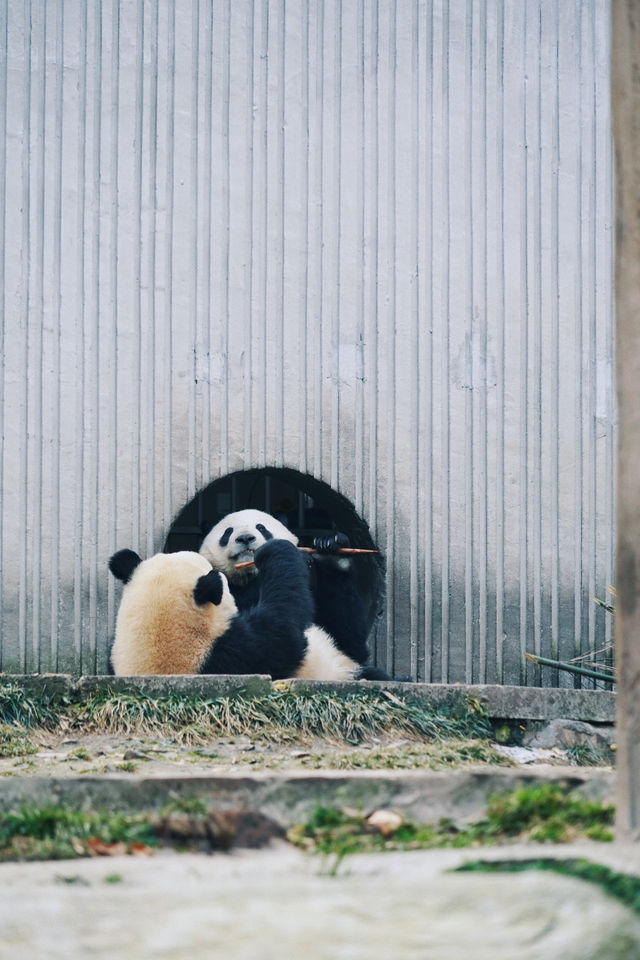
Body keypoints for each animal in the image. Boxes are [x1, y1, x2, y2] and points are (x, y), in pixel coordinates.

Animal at [198, 506, 388, 680]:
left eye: (261, 528)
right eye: (228, 532)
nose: (245, 538)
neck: (247, 574)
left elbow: (349, 642)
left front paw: (331, 546)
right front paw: (296, 558)